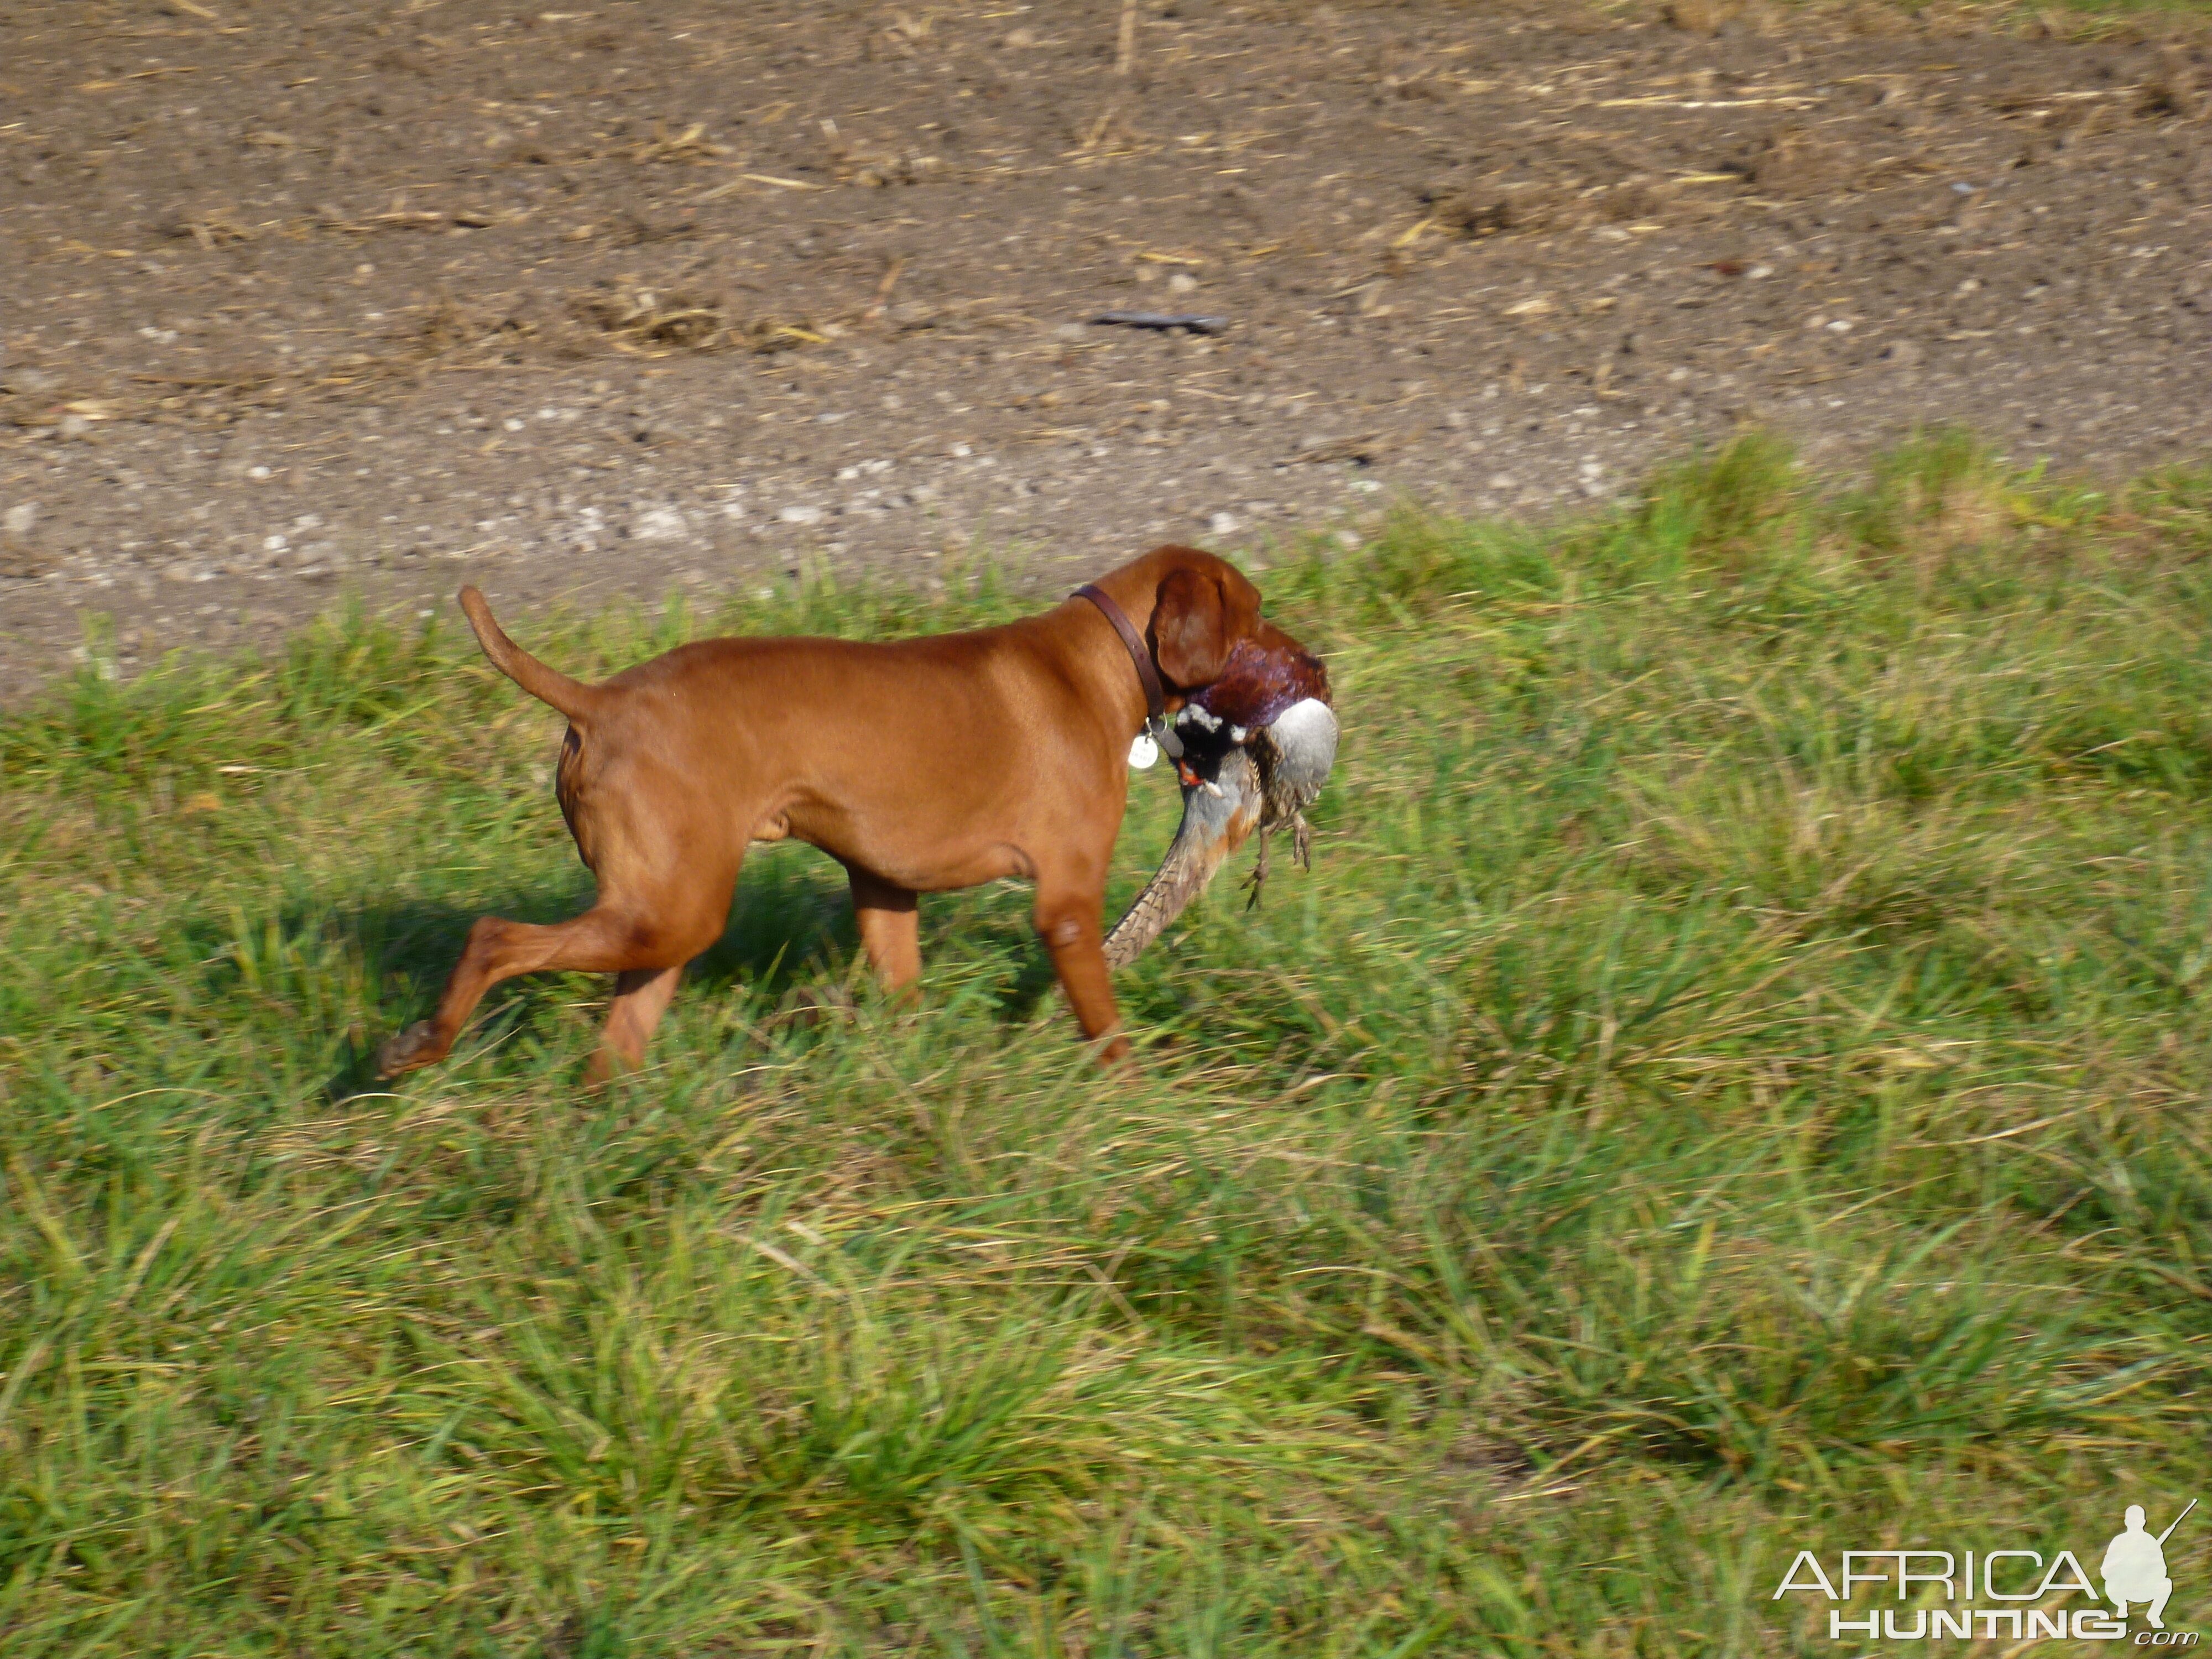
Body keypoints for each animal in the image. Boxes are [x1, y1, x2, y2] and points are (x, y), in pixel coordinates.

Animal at [372, 553, 1318, 1084]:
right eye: (1254, 611)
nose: (1315, 662)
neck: (1093, 659)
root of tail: (597, 701)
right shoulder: (1069, 911)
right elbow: (1107, 1031)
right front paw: (1131, 1102)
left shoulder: (885, 894)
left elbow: (905, 997)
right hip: (668, 915)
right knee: (493, 937)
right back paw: (421, 1045)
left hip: (665, 923)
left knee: (610, 1054)